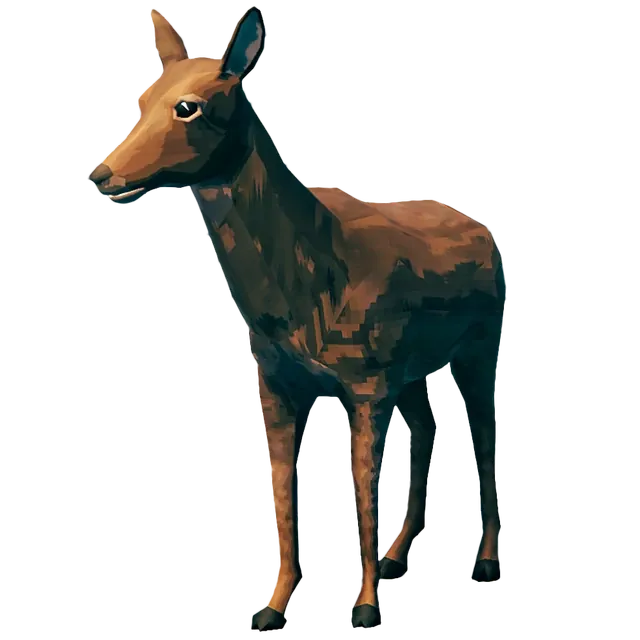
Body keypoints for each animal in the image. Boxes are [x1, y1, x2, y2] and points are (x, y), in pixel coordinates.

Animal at [87, 6, 506, 631]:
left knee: (483, 433)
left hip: (480, 345)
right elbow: (283, 495)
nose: (100, 174)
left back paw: (483, 564)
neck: (305, 290)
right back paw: (395, 559)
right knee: (429, 426)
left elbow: (362, 491)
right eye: (143, 95)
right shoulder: (279, 384)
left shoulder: (364, 386)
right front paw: (271, 608)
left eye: (189, 106)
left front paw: (362, 611)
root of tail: (483, 232)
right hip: (410, 368)